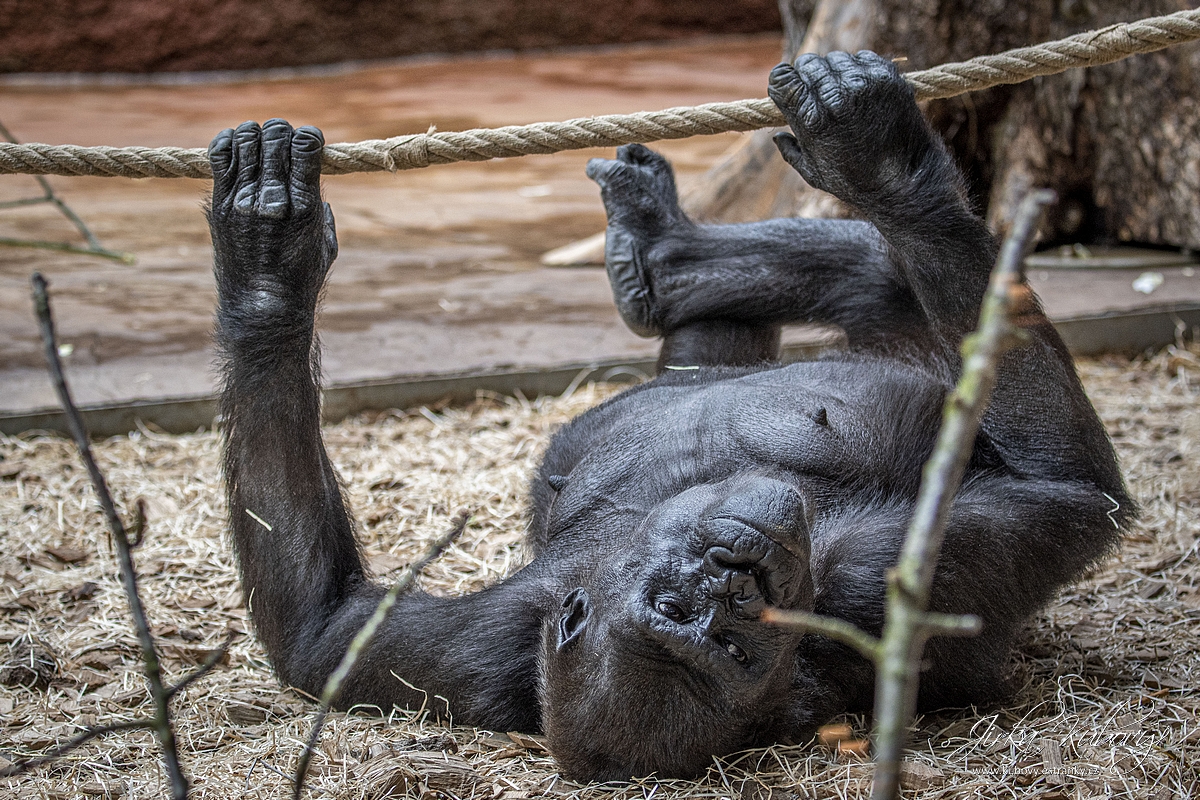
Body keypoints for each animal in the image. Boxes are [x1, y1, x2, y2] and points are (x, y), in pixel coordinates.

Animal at [206, 50, 1132, 782]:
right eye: (719, 634)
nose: (732, 572)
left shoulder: (462, 647)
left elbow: (322, 630)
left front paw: (266, 274)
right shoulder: (878, 580)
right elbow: (1073, 495)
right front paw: (270, 279)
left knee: (862, 271)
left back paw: (675, 250)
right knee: (896, 274)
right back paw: (869, 184)